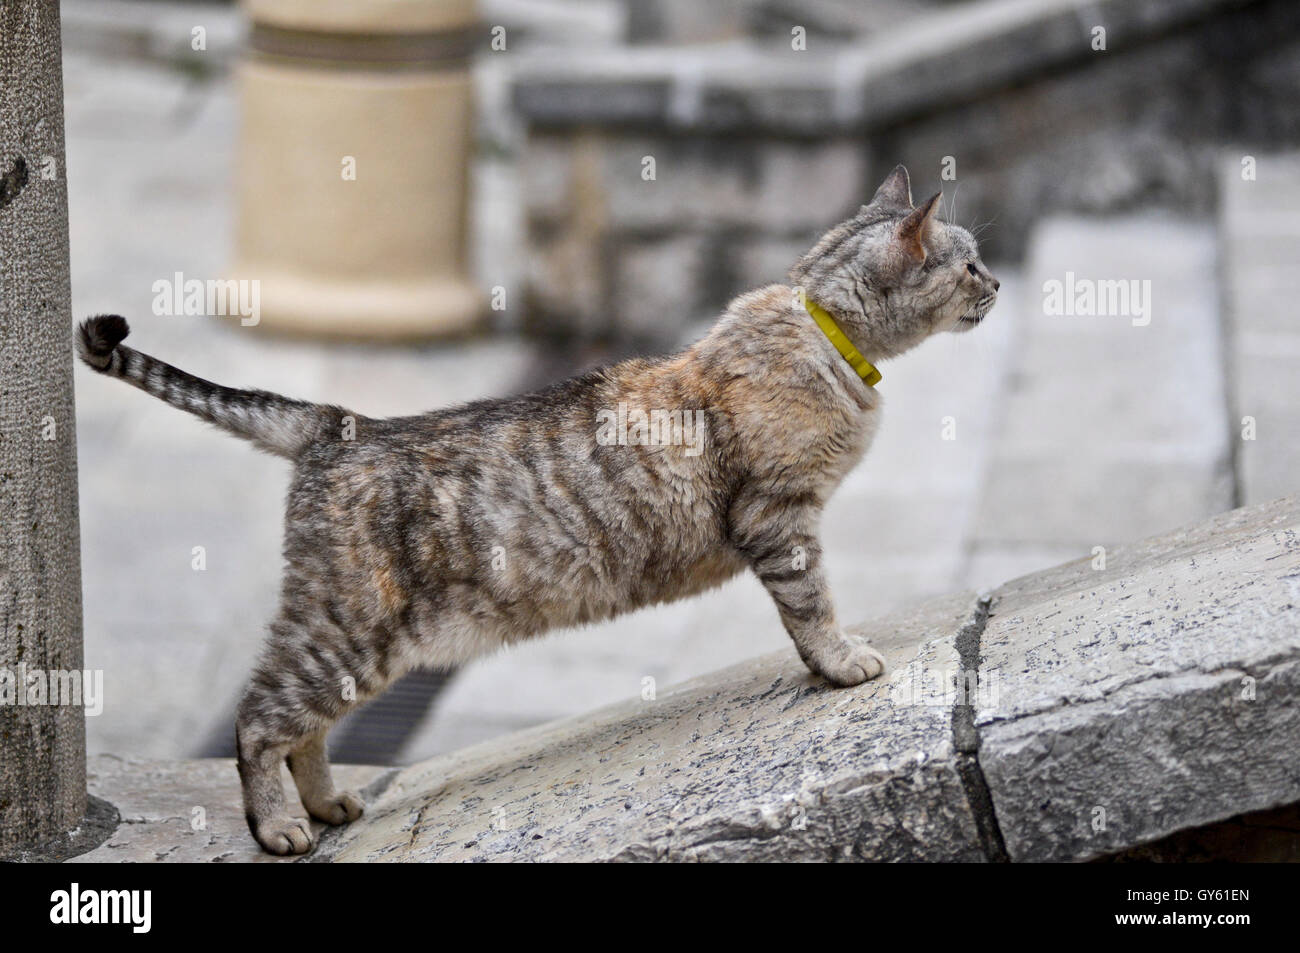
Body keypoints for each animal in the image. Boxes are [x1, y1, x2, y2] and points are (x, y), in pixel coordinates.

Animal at [78, 165, 993, 852]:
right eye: (969, 262)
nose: (996, 282)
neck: (821, 327)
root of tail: (337, 423)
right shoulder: (780, 519)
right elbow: (812, 609)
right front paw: (841, 663)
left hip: (341, 639)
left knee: (304, 727)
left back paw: (329, 804)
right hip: (346, 630)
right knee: (261, 719)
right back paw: (278, 826)